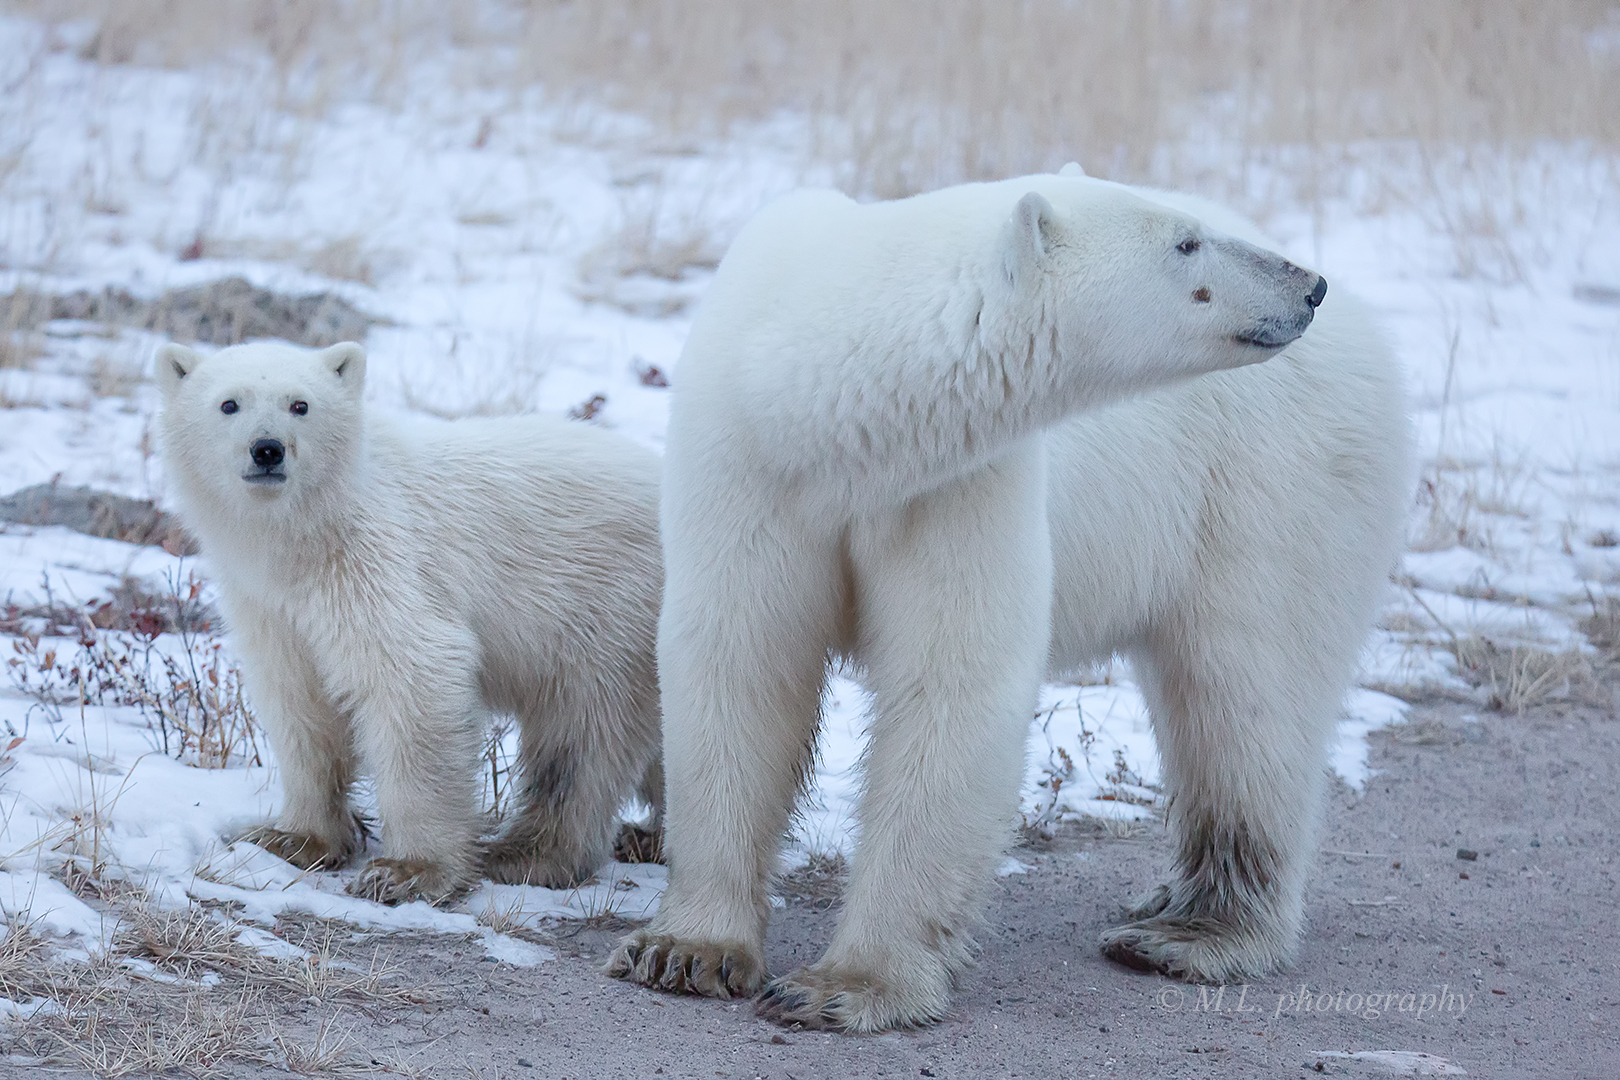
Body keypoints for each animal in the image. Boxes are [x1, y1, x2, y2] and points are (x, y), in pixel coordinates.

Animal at [609, 175, 1406, 1029]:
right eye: (1186, 242)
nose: (1307, 286)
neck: (826, 412)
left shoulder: (959, 487)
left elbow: (951, 685)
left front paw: (846, 984)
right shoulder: (750, 470)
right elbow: (739, 662)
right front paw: (684, 952)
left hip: (1268, 489)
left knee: (1245, 696)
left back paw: (1190, 932)